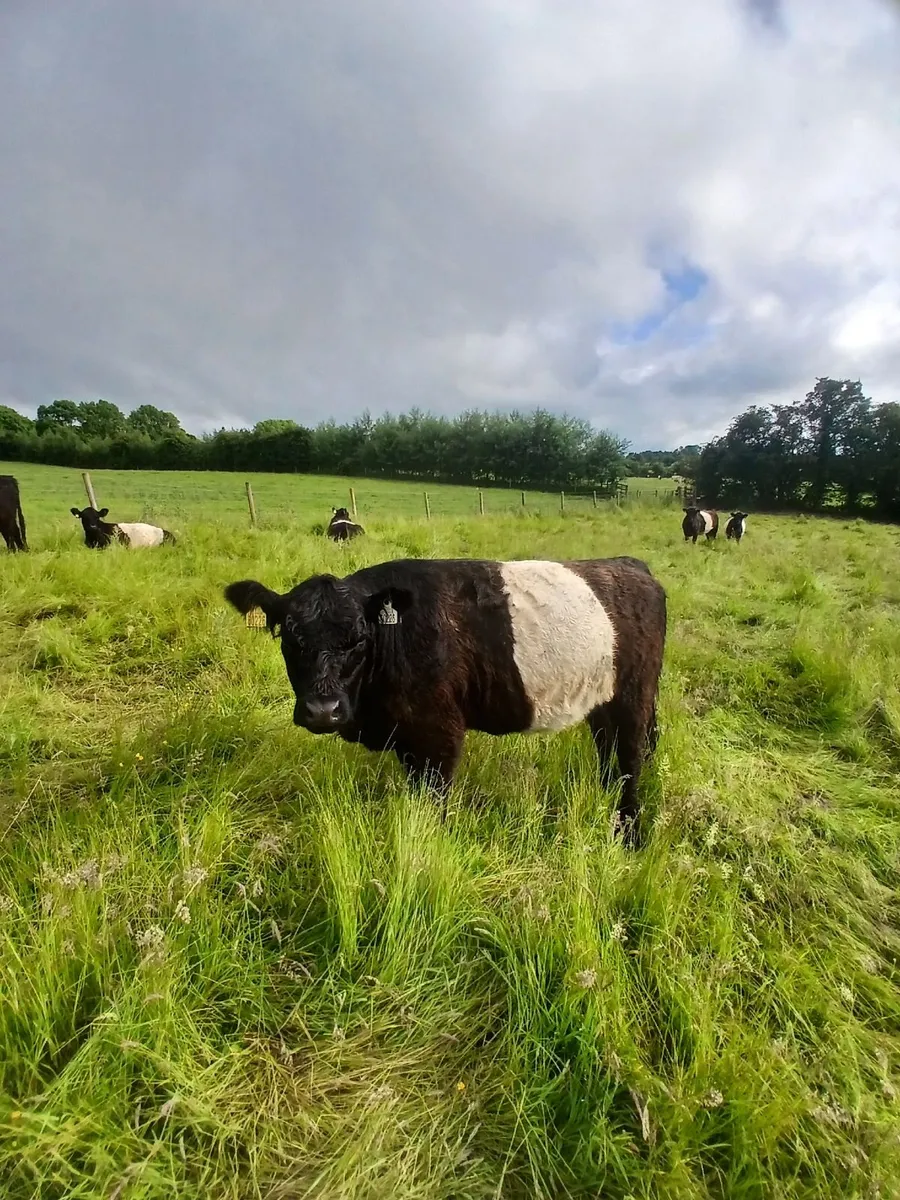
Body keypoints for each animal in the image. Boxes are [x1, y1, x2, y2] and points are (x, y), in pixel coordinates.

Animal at [224, 555, 666, 846]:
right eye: (289, 639)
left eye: (360, 640)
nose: (322, 711)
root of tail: (630, 564)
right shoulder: (407, 738)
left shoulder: (438, 732)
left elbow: (433, 800)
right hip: (603, 703)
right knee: (611, 756)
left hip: (633, 697)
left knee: (630, 761)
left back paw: (628, 836)